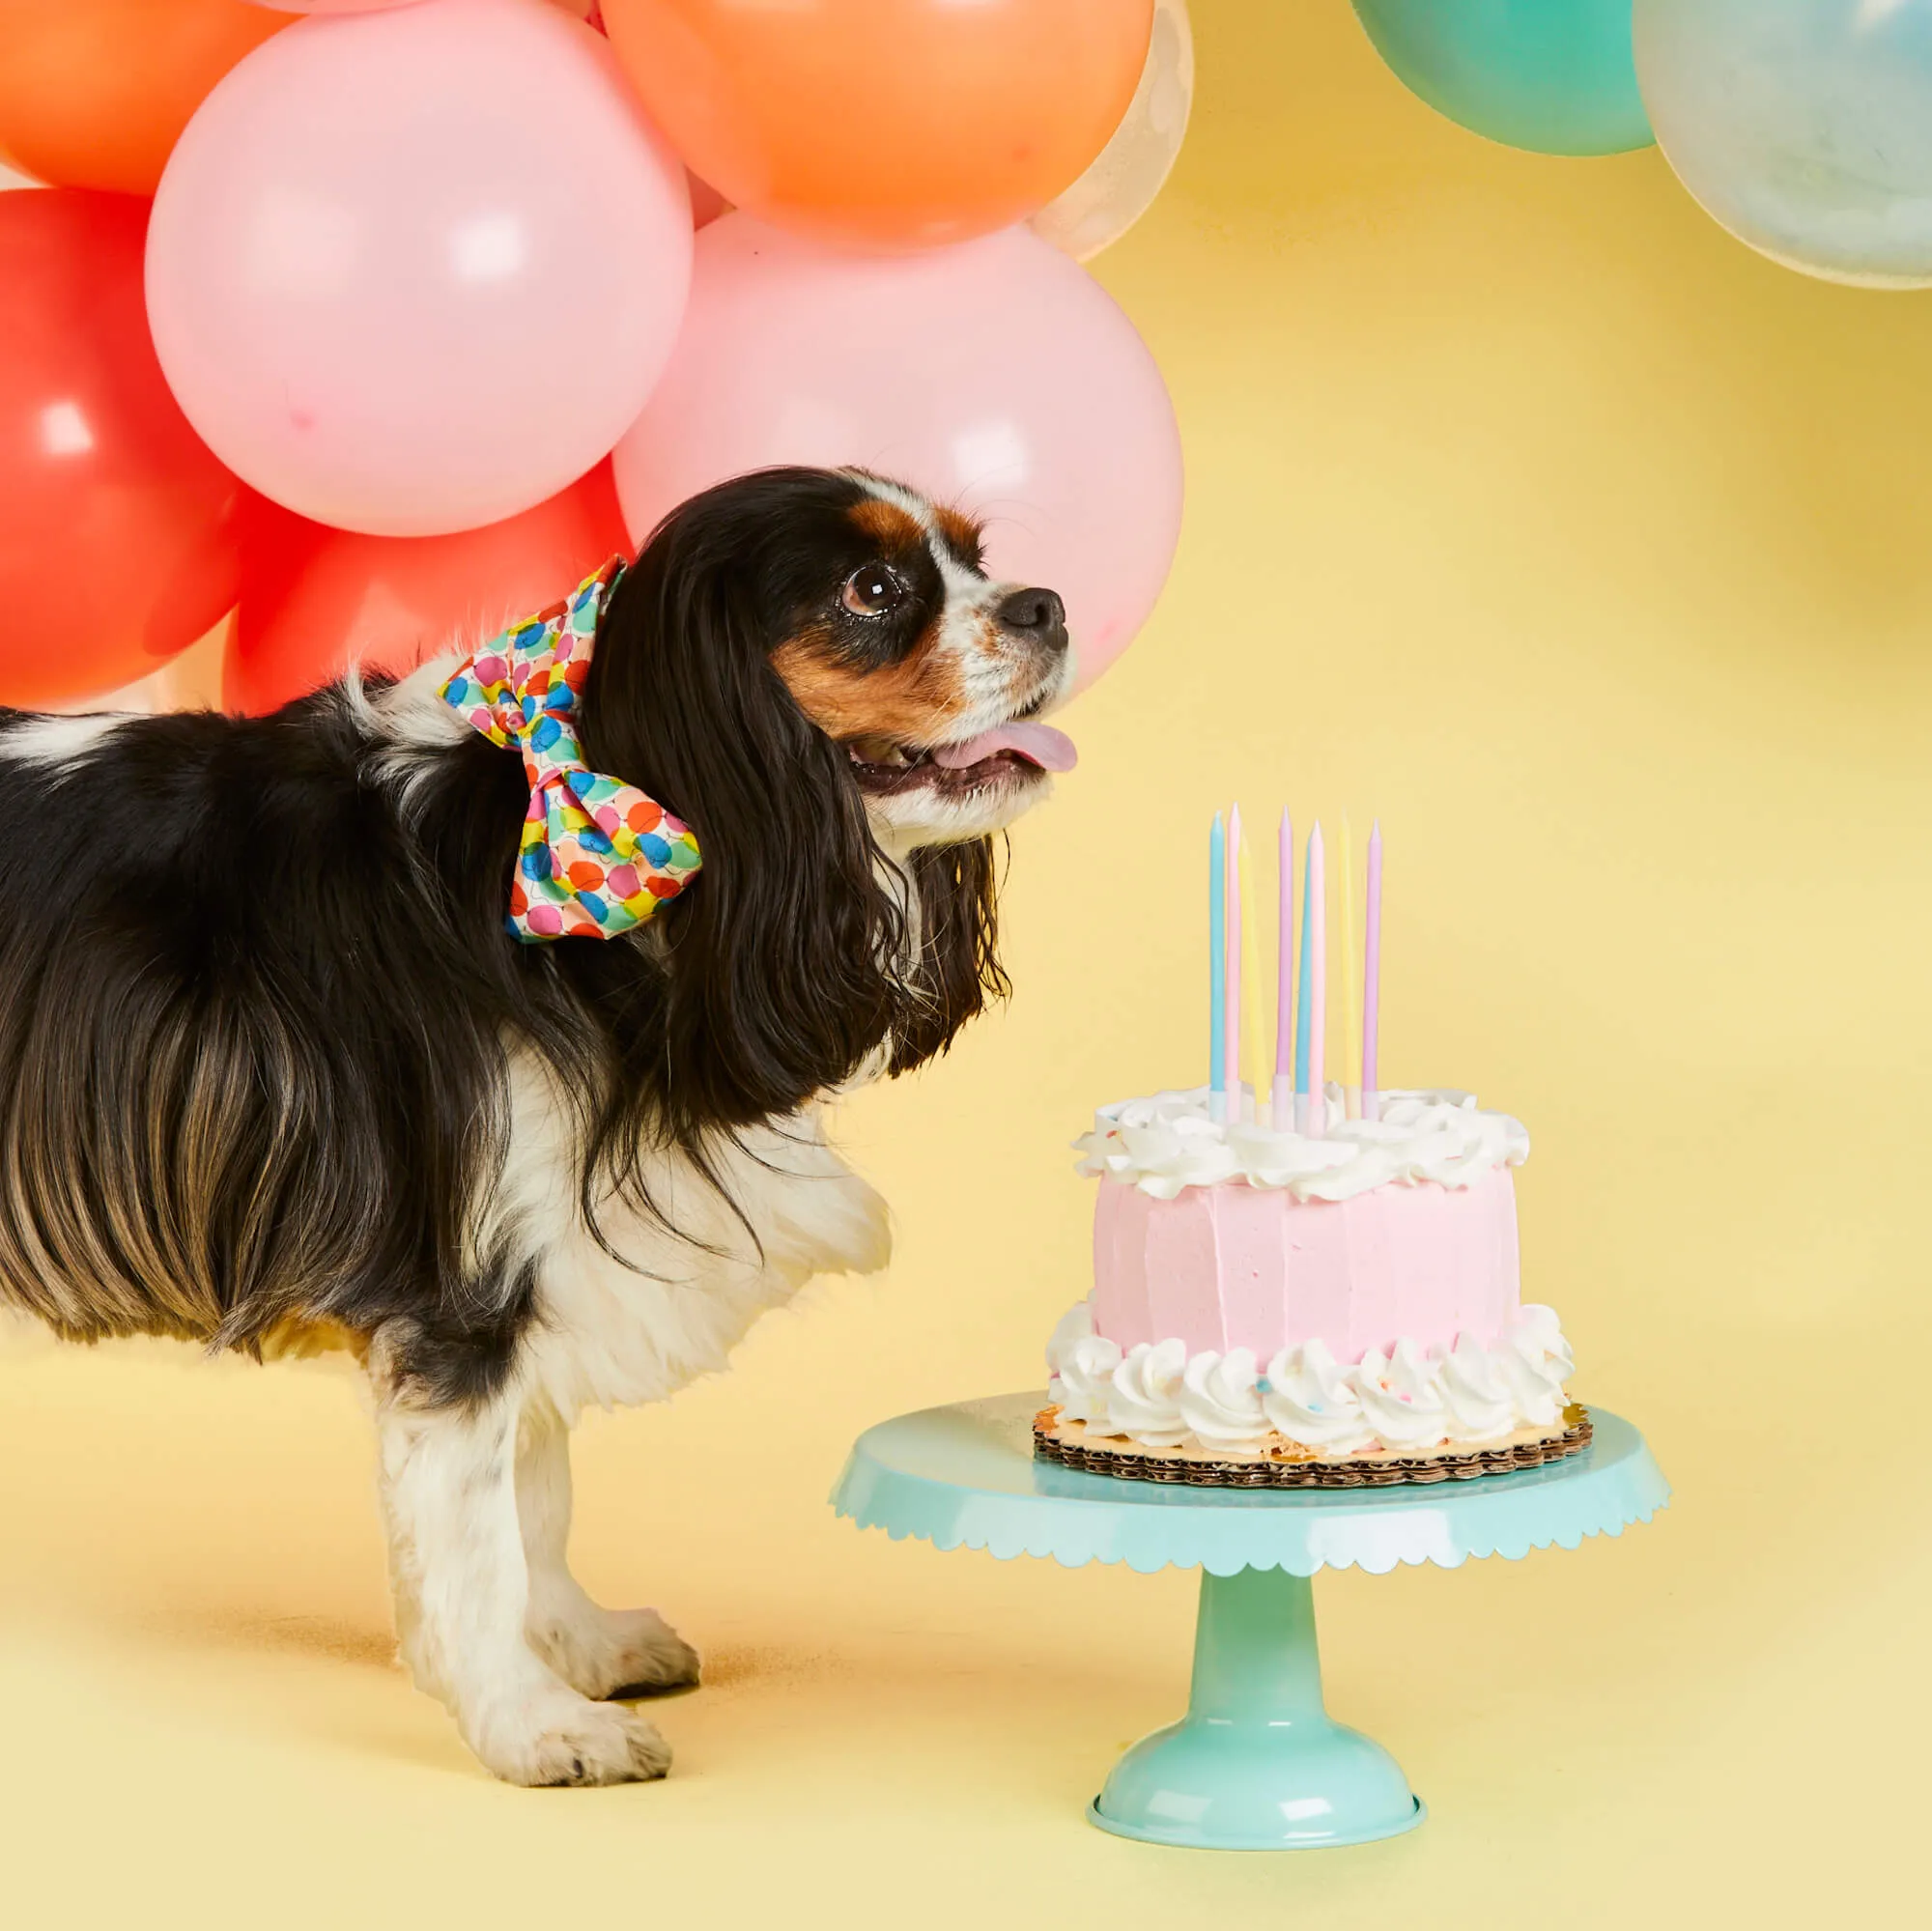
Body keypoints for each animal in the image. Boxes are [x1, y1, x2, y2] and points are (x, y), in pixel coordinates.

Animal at [0, 463, 1082, 1776]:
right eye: (872, 589)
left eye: (978, 554)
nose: (1045, 604)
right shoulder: (459, 1291)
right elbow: (474, 1534)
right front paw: (528, 1720)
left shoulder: (543, 1251)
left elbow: (537, 1489)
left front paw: (575, 1643)